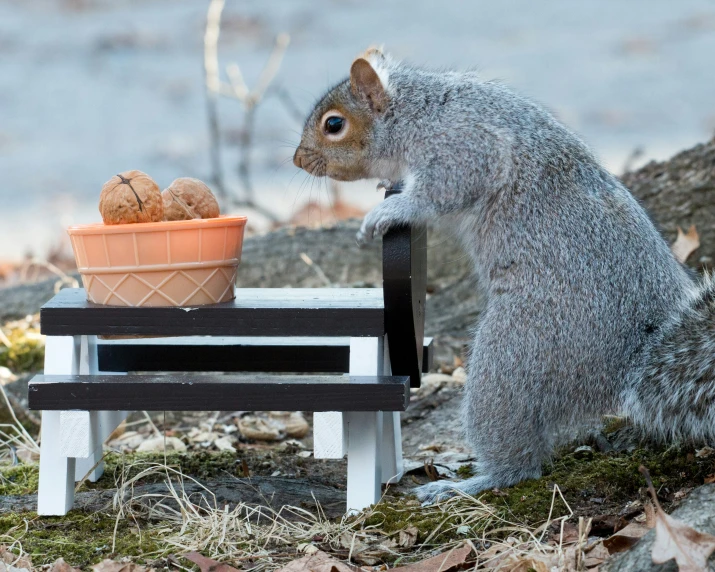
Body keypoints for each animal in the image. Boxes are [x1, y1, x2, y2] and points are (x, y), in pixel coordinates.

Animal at [292, 47, 715, 500]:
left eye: (334, 124)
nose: (297, 159)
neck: (416, 111)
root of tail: (634, 355)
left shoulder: (463, 147)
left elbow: (442, 191)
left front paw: (388, 210)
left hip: (520, 350)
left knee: (518, 459)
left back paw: (469, 482)